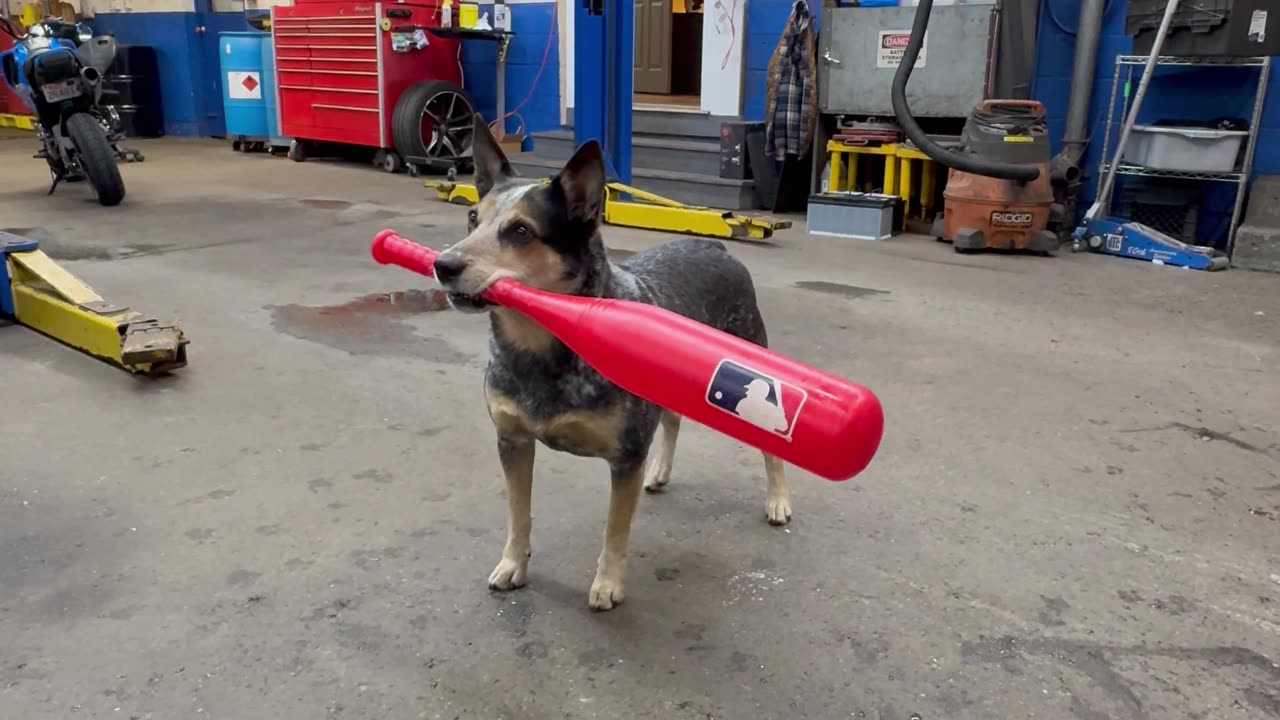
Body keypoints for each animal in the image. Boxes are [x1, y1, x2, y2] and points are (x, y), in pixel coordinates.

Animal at [430, 114, 788, 607]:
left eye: (521, 231)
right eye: (471, 218)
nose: (442, 264)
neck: (546, 347)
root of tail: (715, 248)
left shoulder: (625, 457)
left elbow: (615, 530)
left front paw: (608, 583)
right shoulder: (512, 441)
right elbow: (519, 514)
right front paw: (513, 563)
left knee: (770, 446)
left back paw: (778, 500)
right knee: (672, 419)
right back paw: (661, 471)